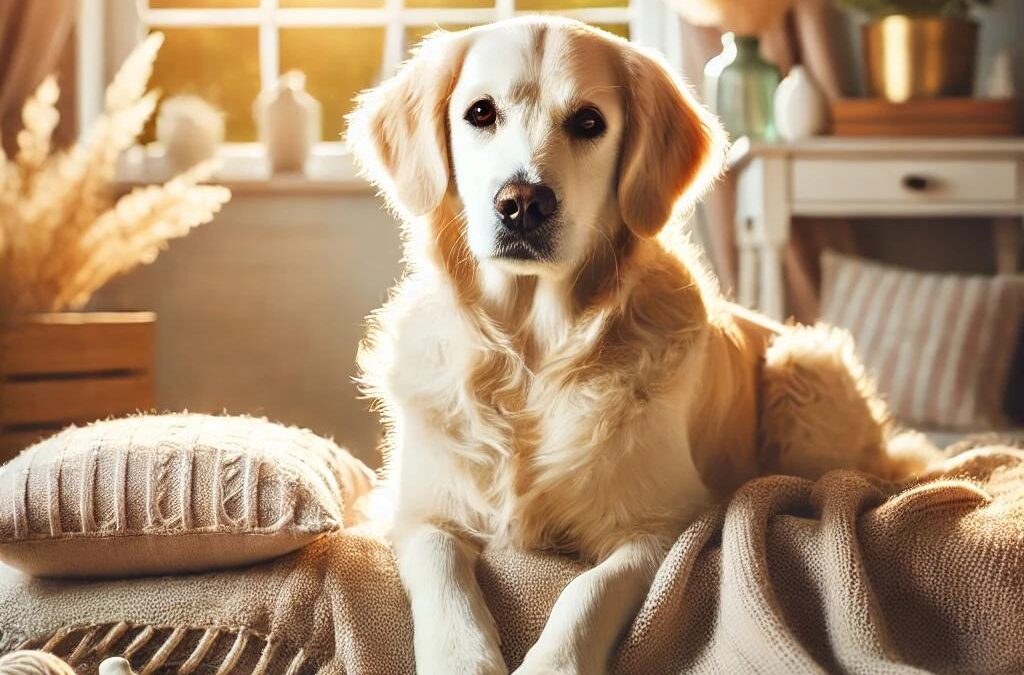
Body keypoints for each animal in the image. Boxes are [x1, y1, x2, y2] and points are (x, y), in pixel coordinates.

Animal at [348, 17, 933, 675]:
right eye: (480, 112)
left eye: (588, 122)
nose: (522, 204)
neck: (531, 355)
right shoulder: (418, 510)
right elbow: (443, 574)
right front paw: (461, 657)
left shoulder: (664, 526)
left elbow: (589, 590)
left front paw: (553, 662)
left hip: (803, 366)